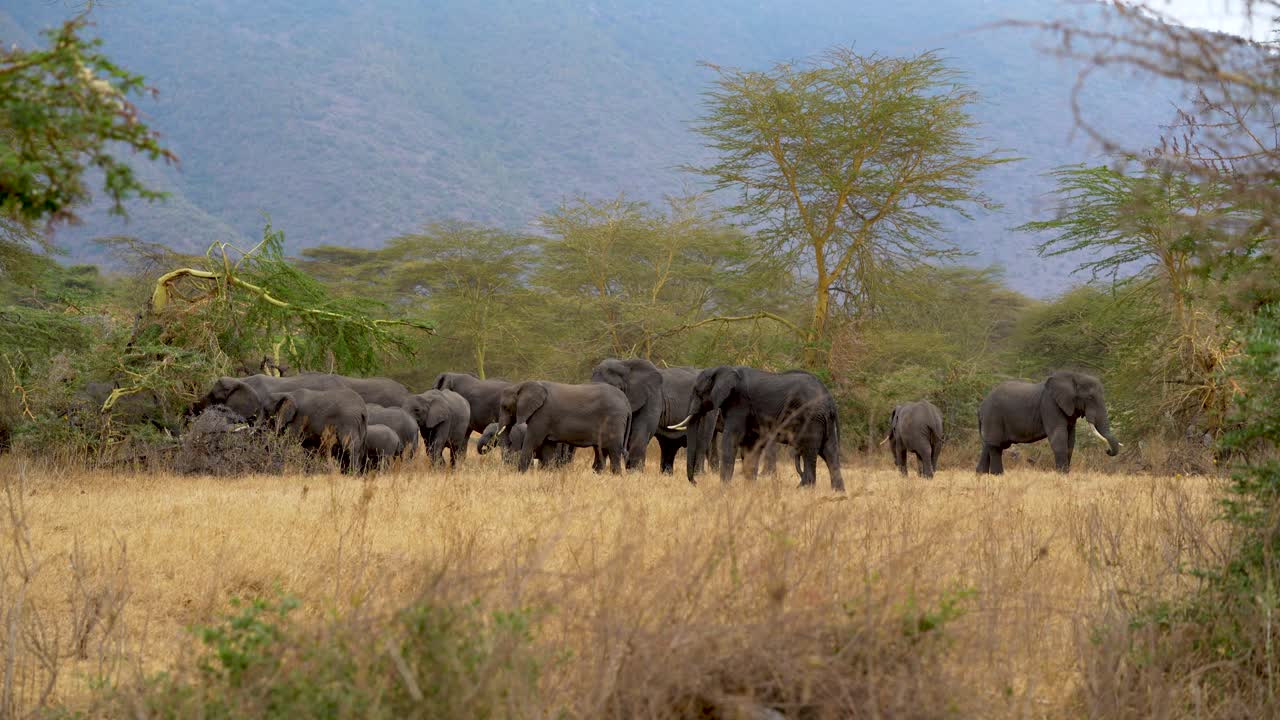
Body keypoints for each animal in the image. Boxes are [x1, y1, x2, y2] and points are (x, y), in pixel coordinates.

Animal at [496, 381, 630, 473]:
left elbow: (533, 441)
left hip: (614, 419)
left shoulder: (542, 415)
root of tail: (626, 401)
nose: (510, 442)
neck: (521, 384)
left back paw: (616, 476)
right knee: (601, 451)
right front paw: (548, 474)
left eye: (505, 407)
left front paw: (520, 474)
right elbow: (547, 447)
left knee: (613, 451)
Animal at [670, 366, 844, 491]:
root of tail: (830, 401)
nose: (695, 483)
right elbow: (750, 447)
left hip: (812, 418)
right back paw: (838, 494)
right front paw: (749, 488)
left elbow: (730, 441)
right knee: (830, 453)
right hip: (823, 421)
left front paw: (724, 489)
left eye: (697, 392)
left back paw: (806, 490)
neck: (721, 369)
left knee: (810, 453)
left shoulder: (739, 405)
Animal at [976, 370, 1121, 475]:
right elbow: (1058, 437)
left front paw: (1066, 474)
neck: (1074, 376)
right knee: (996, 446)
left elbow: (1070, 440)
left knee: (988, 445)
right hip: (993, 416)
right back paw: (997, 475)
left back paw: (981, 474)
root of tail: (981, 406)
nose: (1107, 450)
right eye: (1090, 398)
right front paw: (1062, 474)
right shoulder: (1050, 405)